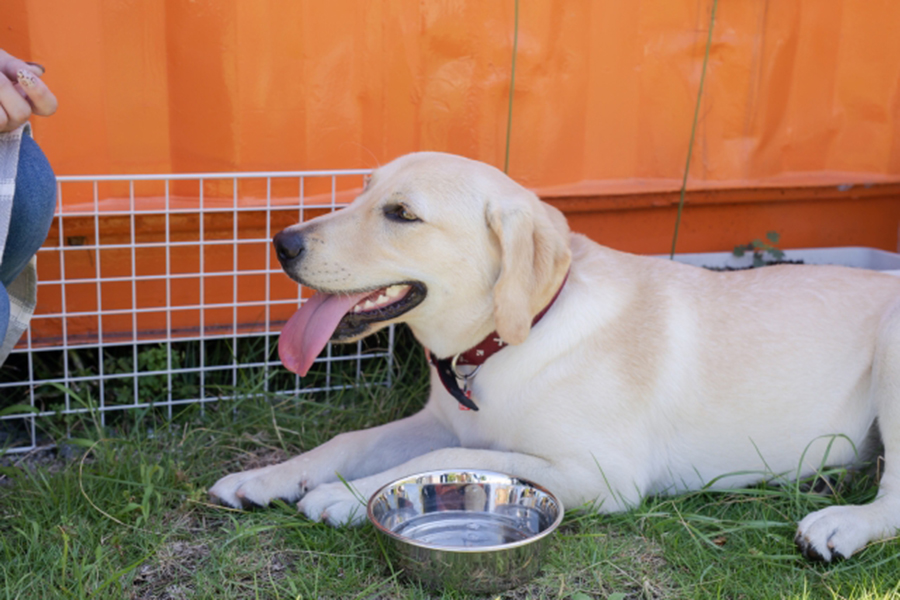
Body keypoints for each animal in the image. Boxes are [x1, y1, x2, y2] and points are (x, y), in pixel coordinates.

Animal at [213, 150, 900, 564]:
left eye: (401, 214)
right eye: (362, 192)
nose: (281, 242)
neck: (503, 344)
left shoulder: (601, 474)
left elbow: (447, 460)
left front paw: (348, 495)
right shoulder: (439, 420)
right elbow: (350, 440)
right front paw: (270, 477)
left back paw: (841, 524)